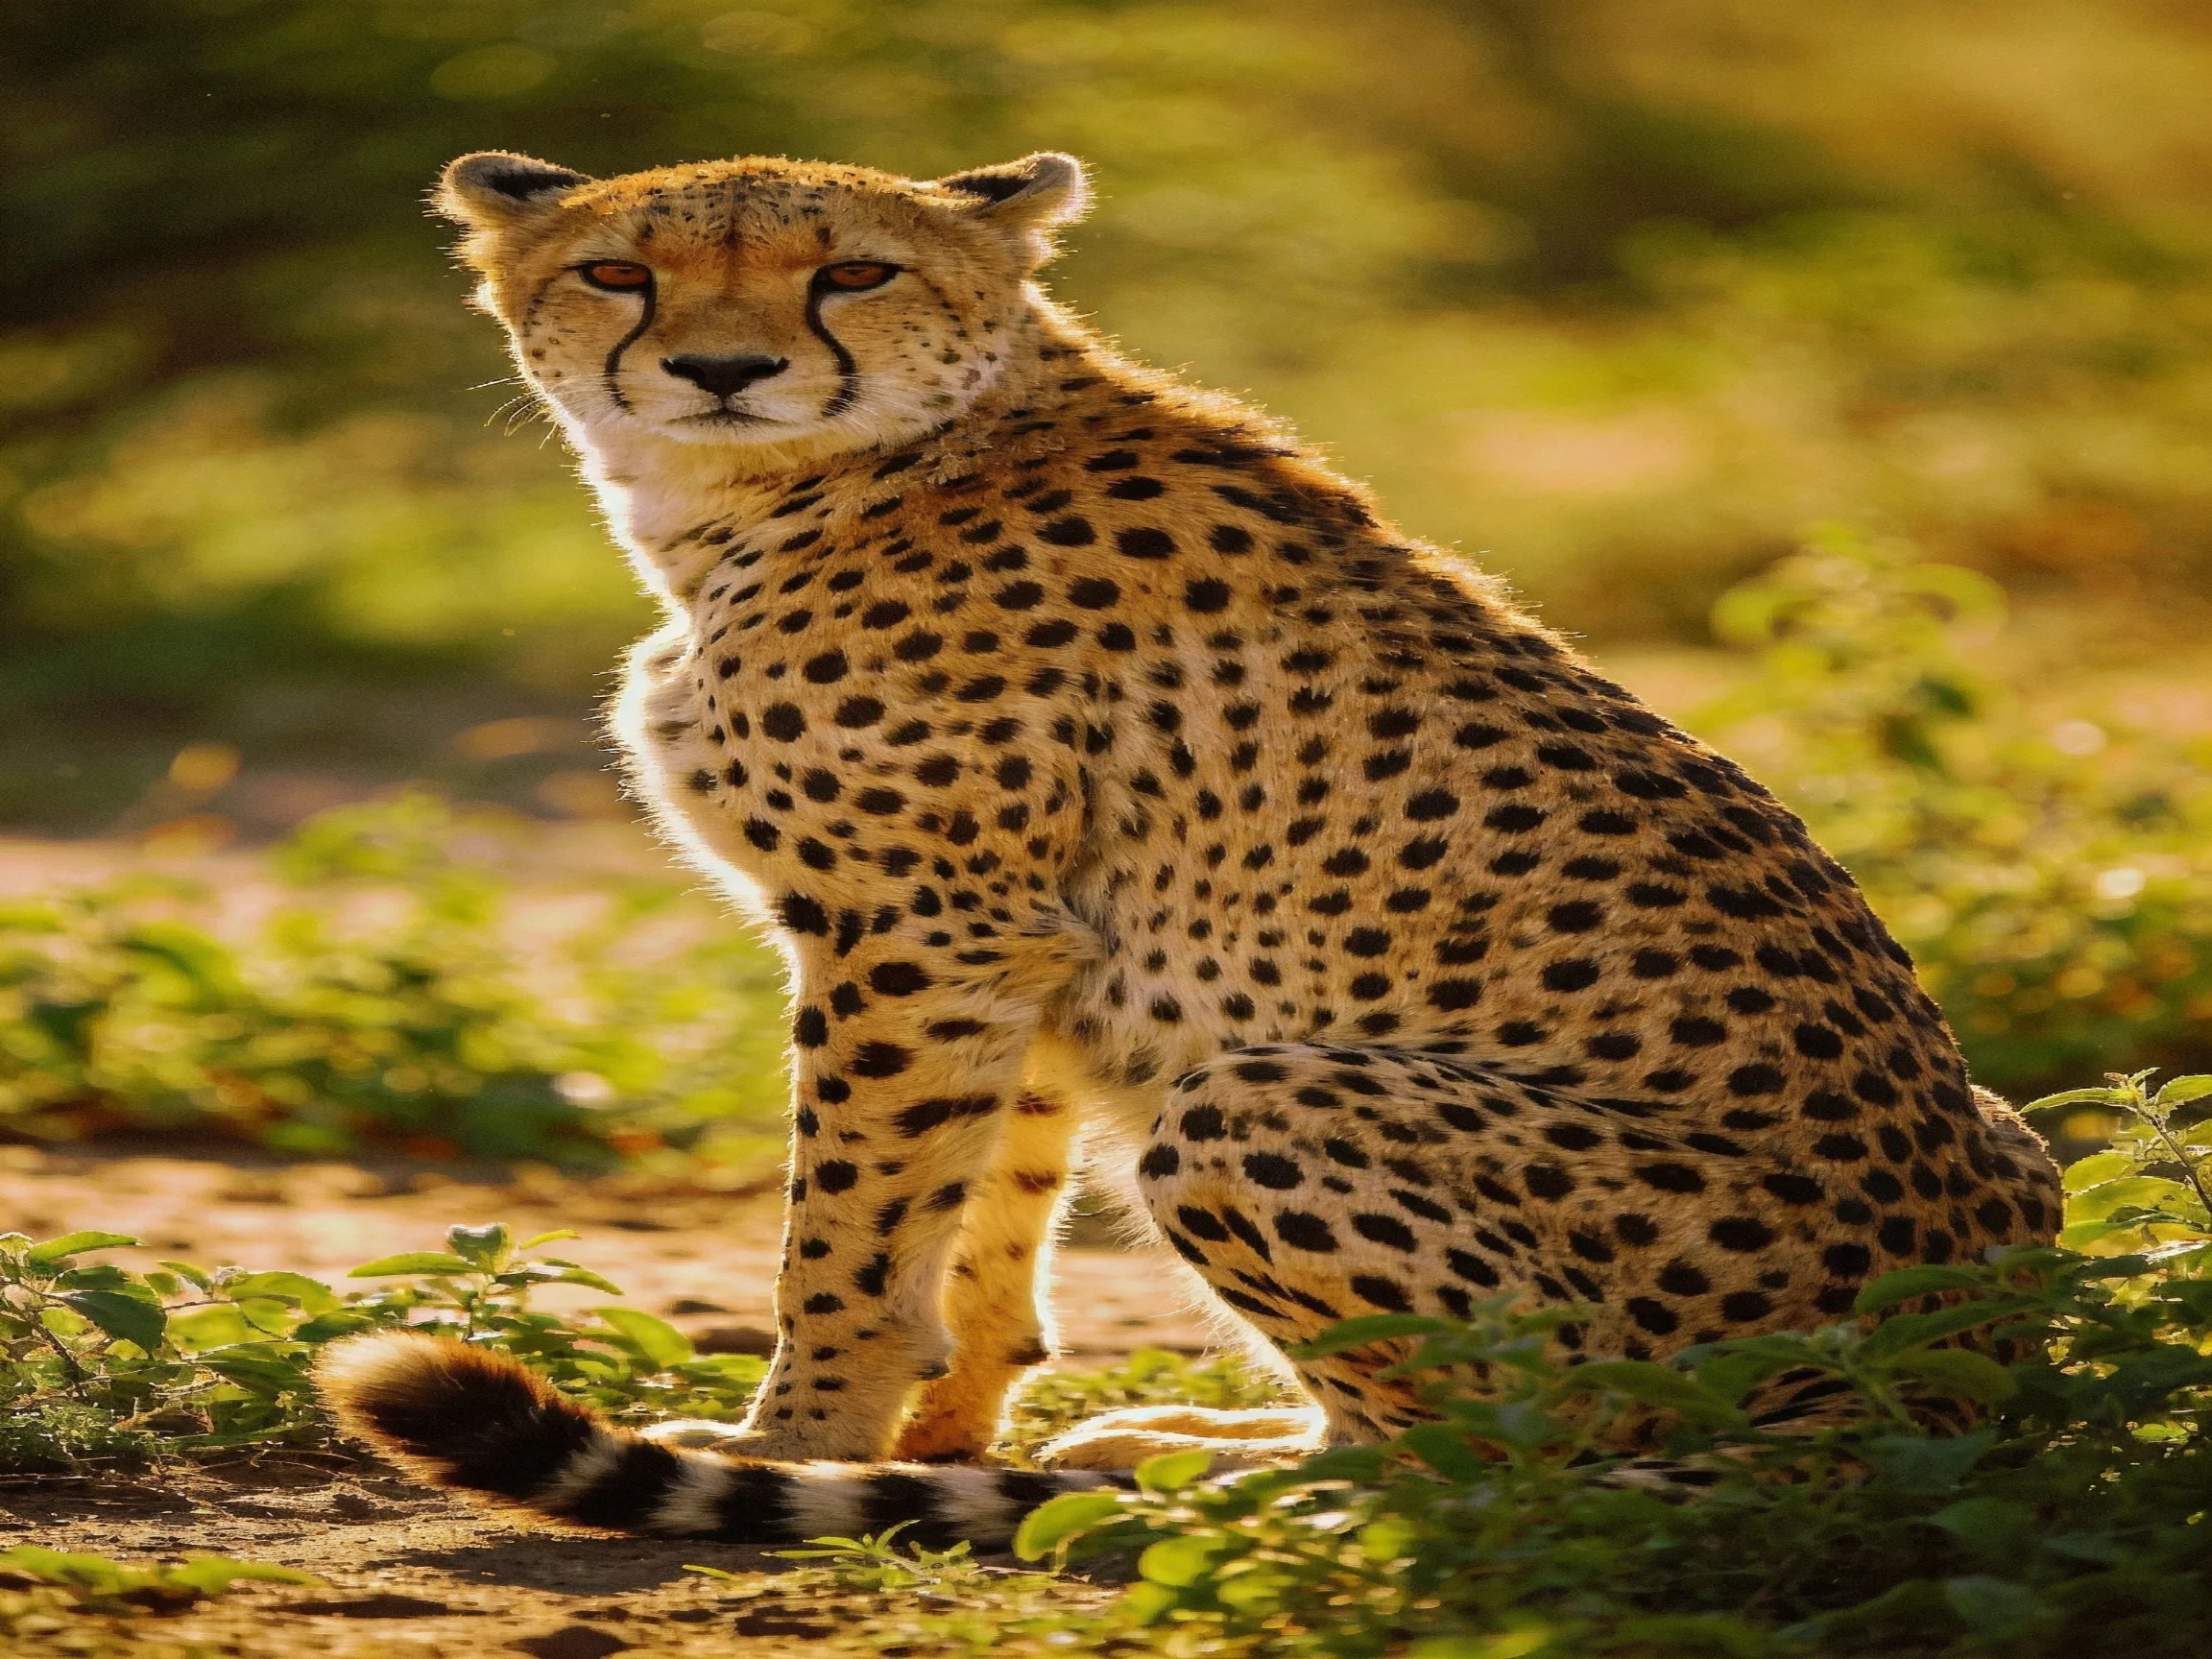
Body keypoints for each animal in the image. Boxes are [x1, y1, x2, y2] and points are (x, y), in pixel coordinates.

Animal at [317, 145, 2061, 1549]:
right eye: (618, 270)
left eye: (853, 270)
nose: (723, 366)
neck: (810, 477)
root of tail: (1949, 1374)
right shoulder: (1008, 943)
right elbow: (979, 1221)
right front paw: (929, 1441)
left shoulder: (917, 926)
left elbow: (848, 1231)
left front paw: (791, 1446)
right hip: (2013, 1139)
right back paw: (1183, 1448)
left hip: (1257, 1101)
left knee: (1499, 1457)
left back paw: (1238, 1489)